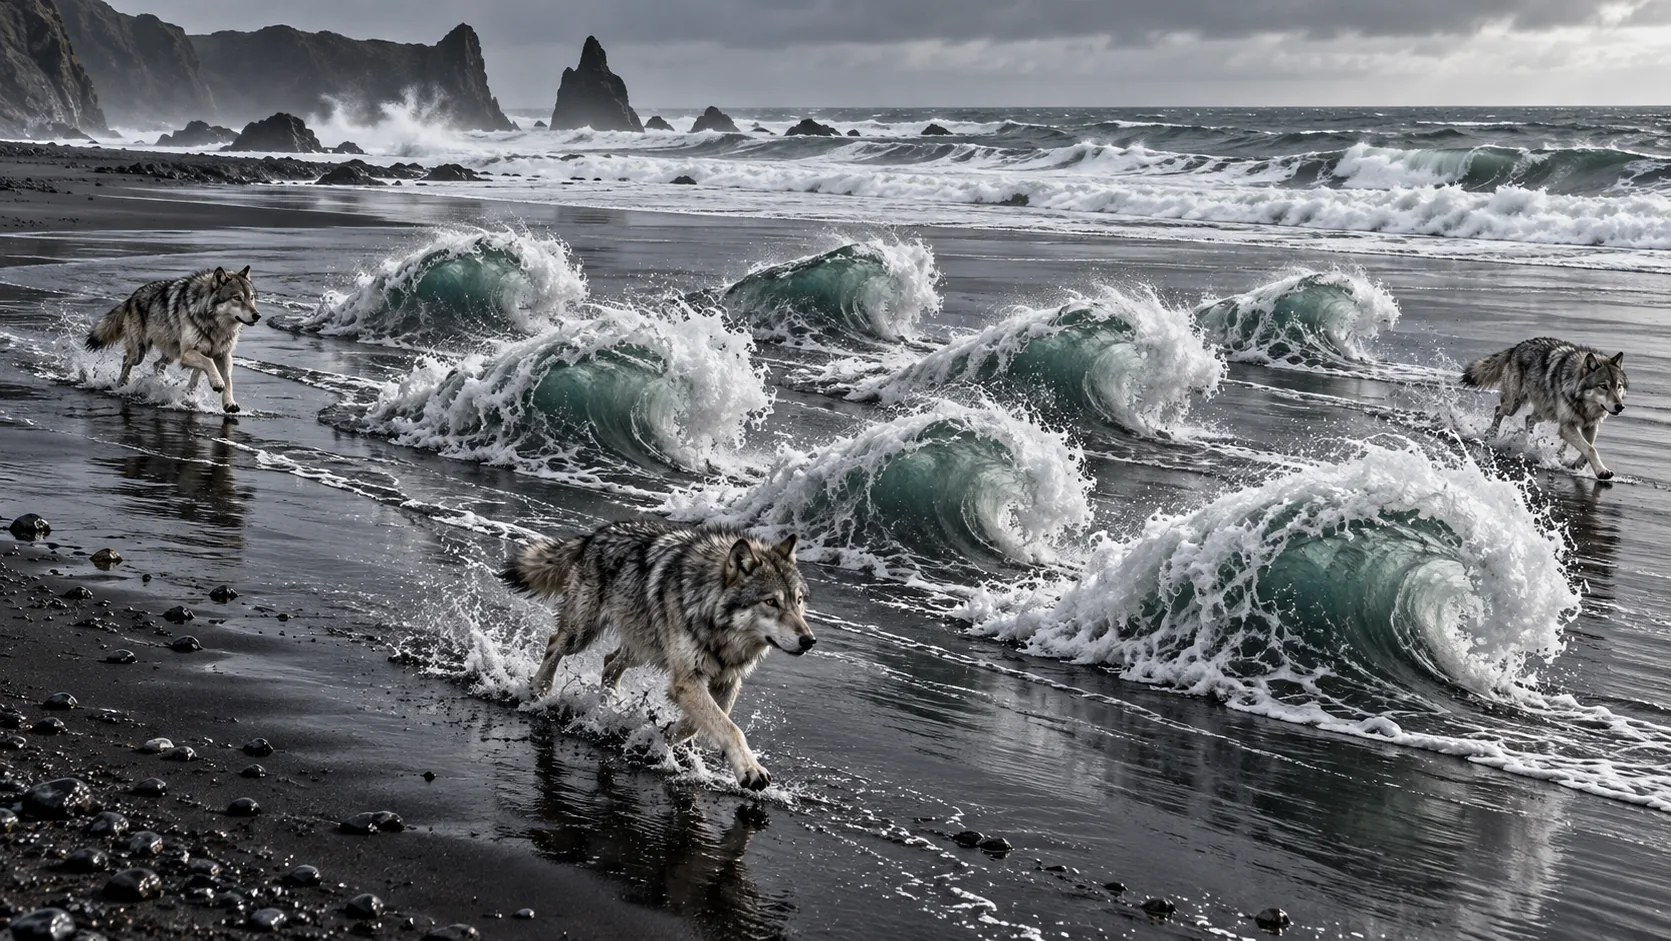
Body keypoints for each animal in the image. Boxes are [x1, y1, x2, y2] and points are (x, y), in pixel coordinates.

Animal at [84, 266, 260, 413]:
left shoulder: (223, 355)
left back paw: (162, 382)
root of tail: (132, 297)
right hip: (141, 353)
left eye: (251, 298)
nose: (257, 316)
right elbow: (209, 364)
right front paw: (217, 383)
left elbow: (227, 379)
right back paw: (121, 385)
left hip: (171, 354)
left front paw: (229, 403)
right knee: (126, 359)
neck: (217, 327)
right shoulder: (187, 353)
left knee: (157, 365)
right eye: (237, 298)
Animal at [501, 520, 815, 791]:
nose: (809, 640)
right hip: (583, 635)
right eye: (771, 602)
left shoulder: (727, 681)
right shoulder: (686, 679)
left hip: (644, 645)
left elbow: (703, 722)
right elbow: (730, 728)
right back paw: (540, 689)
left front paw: (666, 737)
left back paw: (607, 706)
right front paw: (751, 769)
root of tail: (595, 534)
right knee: (555, 644)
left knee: (610, 662)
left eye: (798, 601)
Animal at [1461, 337, 1627, 480]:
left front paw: (1579, 465)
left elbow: (1590, 446)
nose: (1620, 406)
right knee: (1498, 410)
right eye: (1603, 386)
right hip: (1514, 405)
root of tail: (1518, 346)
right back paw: (1492, 435)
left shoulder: (1590, 425)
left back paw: (1527, 443)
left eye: (1618, 386)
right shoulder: (1566, 427)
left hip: (1545, 412)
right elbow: (1591, 449)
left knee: (1529, 418)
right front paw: (1602, 472)